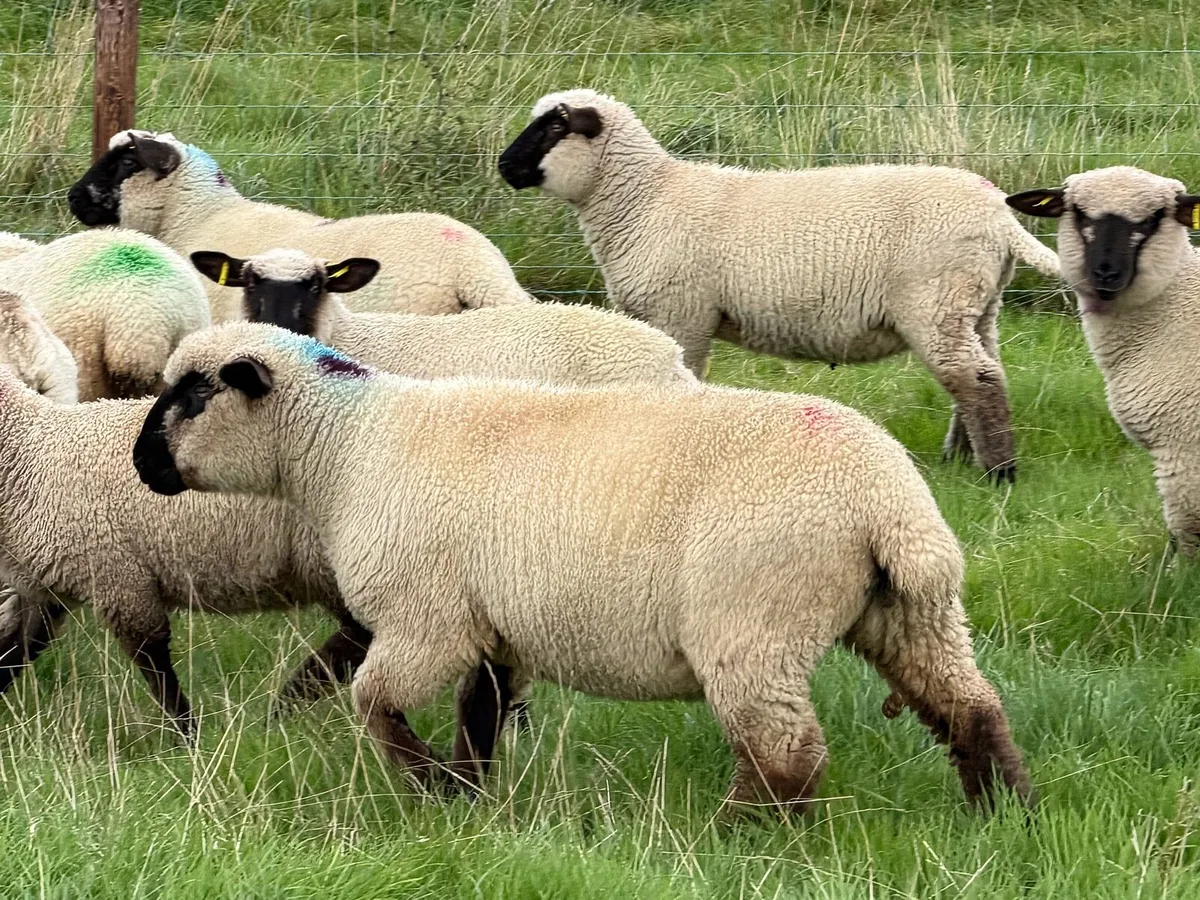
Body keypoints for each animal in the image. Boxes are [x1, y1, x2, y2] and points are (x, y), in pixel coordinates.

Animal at [137, 321, 1033, 812]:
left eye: (192, 395)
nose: (142, 464)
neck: (348, 446)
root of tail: (892, 507)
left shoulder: (428, 619)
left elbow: (375, 702)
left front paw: (428, 786)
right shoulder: (488, 627)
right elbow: (480, 714)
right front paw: (467, 795)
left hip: (754, 623)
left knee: (786, 753)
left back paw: (742, 836)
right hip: (912, 614)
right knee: (972, 709)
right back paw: (1002, 812)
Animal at [498, 89, 1065, 483]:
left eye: (554, 125)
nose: (504, 166)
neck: (645, 199)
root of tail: (999, 215)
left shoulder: (683, 314)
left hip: (935, 299)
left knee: (976, 380)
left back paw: (999, 473)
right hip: (975, 304)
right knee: (984, 375)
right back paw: (962, 457)